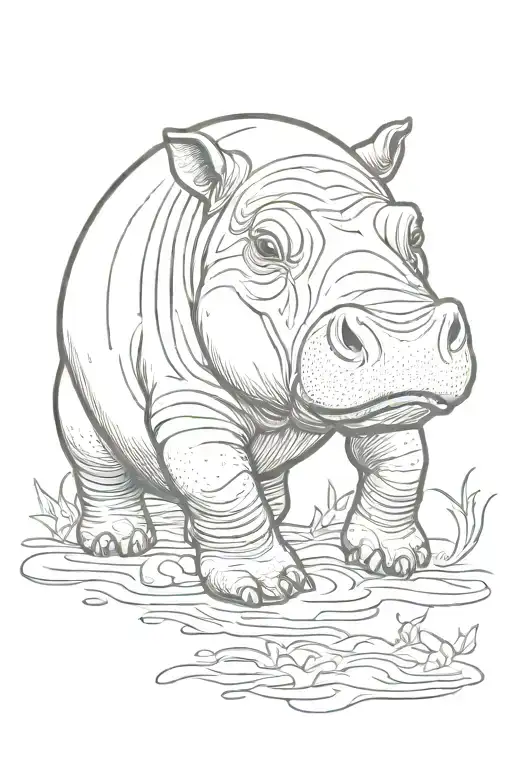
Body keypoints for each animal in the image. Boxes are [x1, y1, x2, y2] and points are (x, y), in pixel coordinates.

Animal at [55, 113, 475, 606]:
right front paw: (265, 587)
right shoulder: (187, 396)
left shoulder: (382, 399)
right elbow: (218, 479)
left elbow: (401, 459)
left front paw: (394, 558)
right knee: (89, 442)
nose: (407, 341)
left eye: (415, 234)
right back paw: (117, 543)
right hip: (76, 373)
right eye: (266, 247)